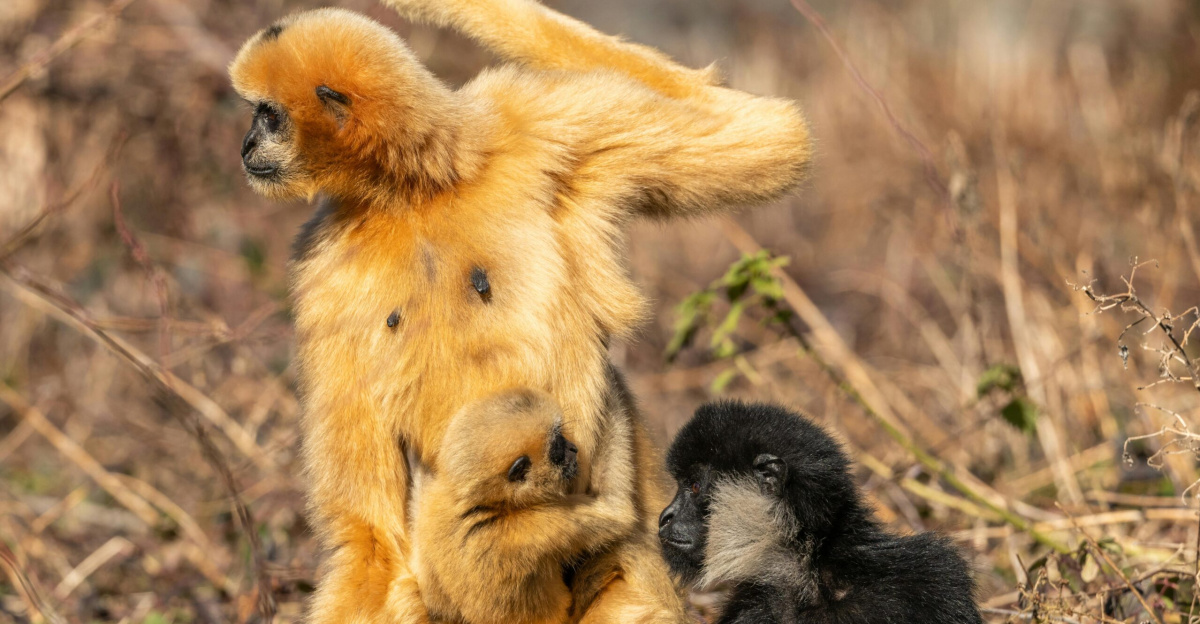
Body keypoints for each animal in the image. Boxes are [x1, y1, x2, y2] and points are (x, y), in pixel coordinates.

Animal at [409, 388, 637, 624]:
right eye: (557, 448)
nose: (573, 449)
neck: (486, 504)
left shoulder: (437, 505)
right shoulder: (537, 524)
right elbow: (617, 510)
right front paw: (614, 392)